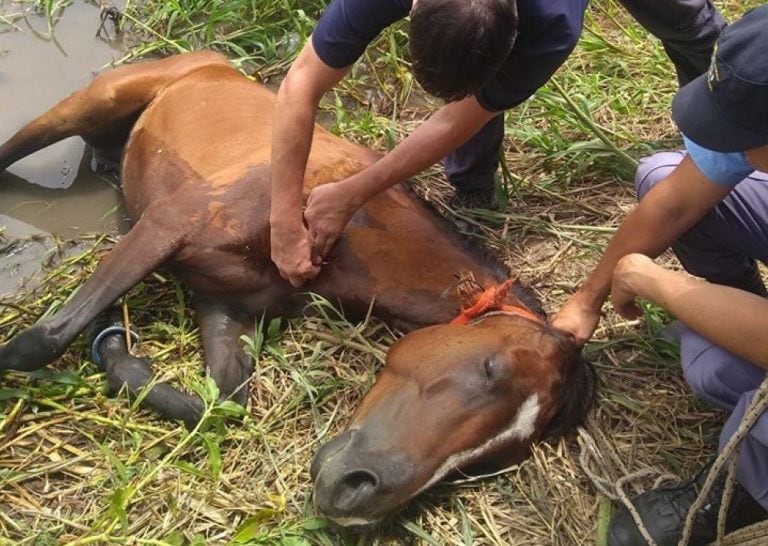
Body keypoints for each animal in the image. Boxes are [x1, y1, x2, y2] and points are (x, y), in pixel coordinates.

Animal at [0, 50, 592, 524]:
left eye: (495, 458)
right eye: (490, 369)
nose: (358, 497)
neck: (342, 227)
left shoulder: (225, 306)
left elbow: (222, 404)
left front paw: (119, 352)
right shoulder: (164, 226)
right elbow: (39, 342)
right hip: (89, 105)